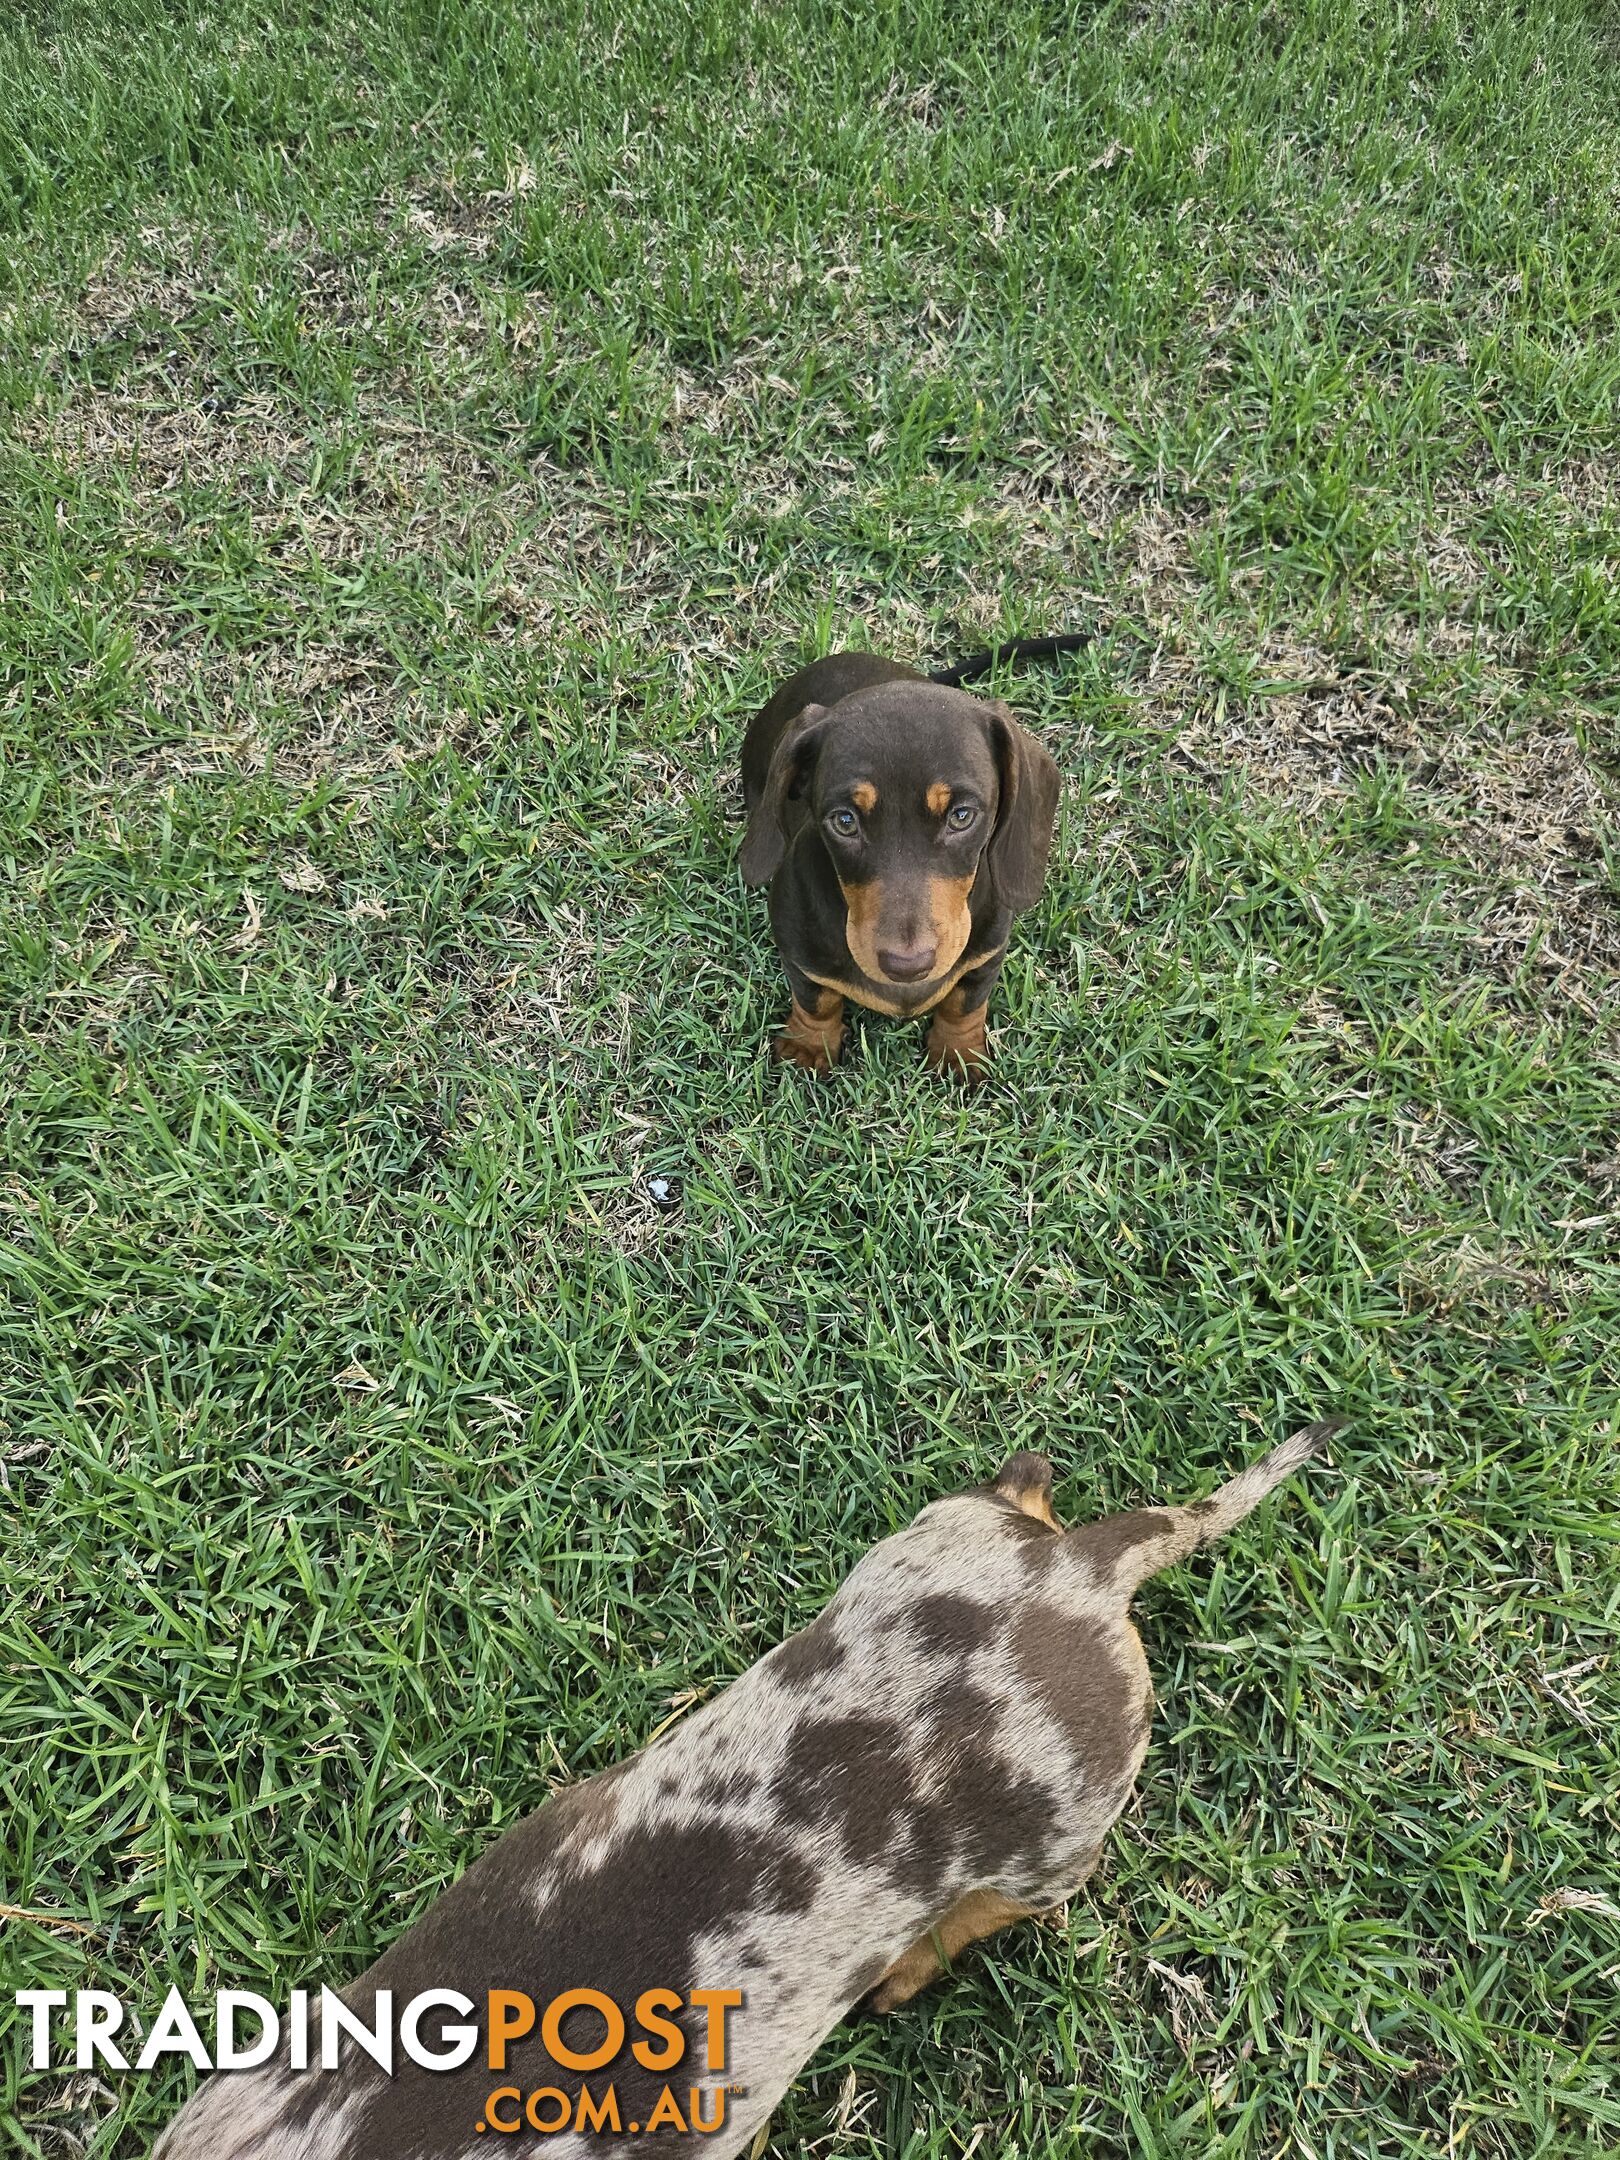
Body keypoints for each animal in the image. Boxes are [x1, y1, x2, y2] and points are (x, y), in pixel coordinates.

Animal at [747, 635, 1092, 1080]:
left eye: (961, 815)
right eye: (844, 821)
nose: (906, 967)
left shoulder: (988, 953)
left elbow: (965, 1002)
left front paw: (958, 1051)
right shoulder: (798, 952)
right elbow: (816, 999)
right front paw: (810, 1043)